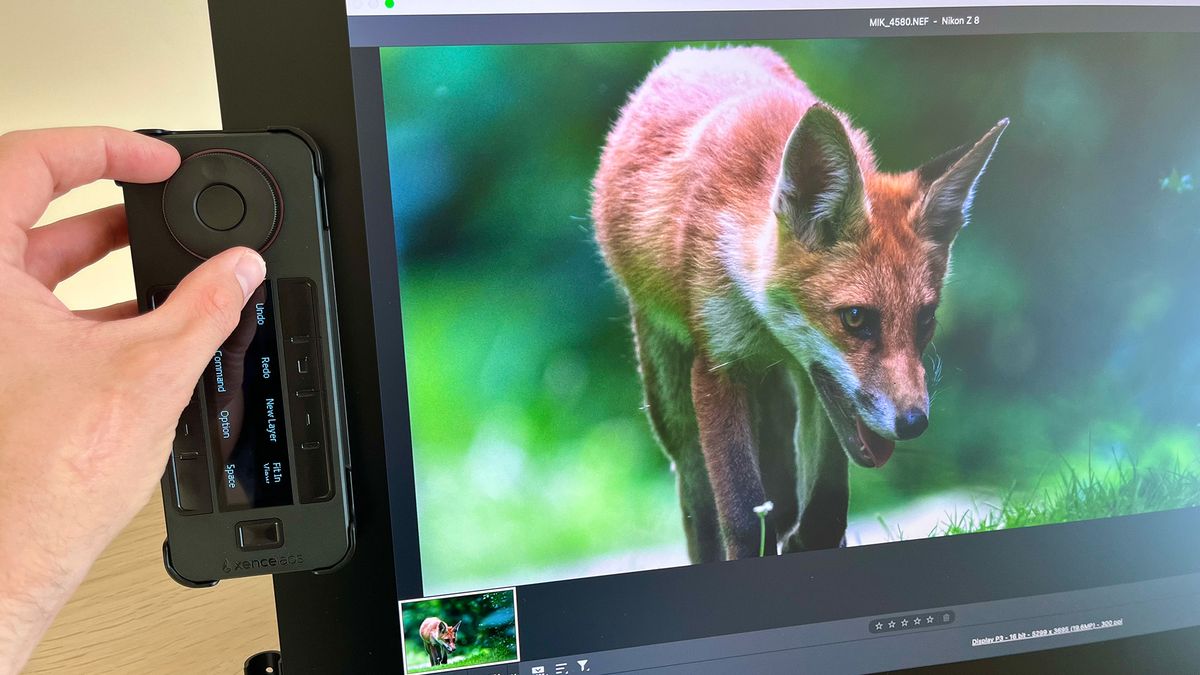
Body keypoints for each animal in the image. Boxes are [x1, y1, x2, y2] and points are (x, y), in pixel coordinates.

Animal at [592, 46, 1007, 562]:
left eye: (925, 320)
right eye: (856, 318)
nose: (913, 423)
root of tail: (702, 52)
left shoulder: (816, 384)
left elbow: (825, 510)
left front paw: (804, 541)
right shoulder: (718, 367)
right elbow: (742, 516)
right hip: (674, 407)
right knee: (698, 501)